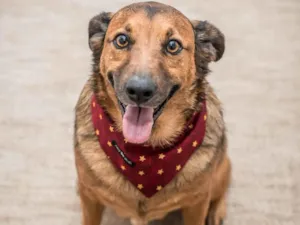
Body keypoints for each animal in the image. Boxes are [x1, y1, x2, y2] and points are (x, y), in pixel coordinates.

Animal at [74, 2, 231, 225]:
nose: (139, 91)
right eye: (122, 40)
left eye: (173, 45)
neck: (144, 152)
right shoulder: (89, 196)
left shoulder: (197, 202)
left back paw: (216, 211)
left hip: (220, 170)